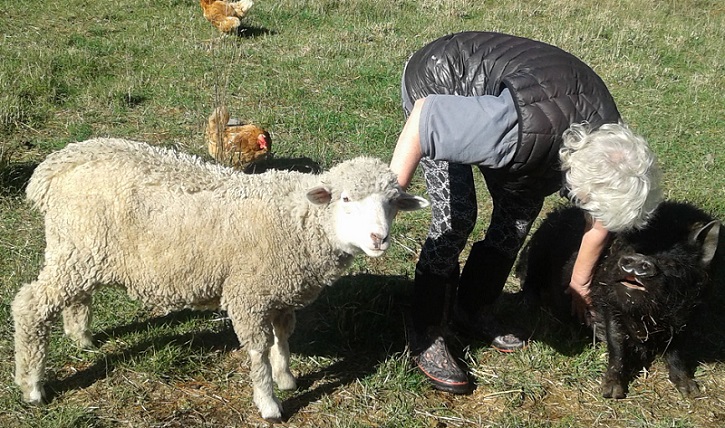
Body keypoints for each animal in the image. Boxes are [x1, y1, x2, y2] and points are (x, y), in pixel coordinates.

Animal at [13, 138, 429, 421]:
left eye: (393, 202)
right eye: (345, 199)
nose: (379, 238)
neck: (298, 218)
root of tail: (57, 165)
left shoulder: (278, 292)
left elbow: (282, 337)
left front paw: (286, 376)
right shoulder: (248, 295)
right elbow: (258, 351)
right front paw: (269, 402)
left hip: (82, 252)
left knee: (75, 298)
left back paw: (81, 338)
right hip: (74, 250)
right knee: (31, 306)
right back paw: (32, 386)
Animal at [521, 201, 720, 398]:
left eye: (672, 263)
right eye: (627, 248)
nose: (639, 259)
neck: (643, 317)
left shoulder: (687, 315)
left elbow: (676, 349)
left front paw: (691, 392)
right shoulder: (608, 304)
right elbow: (617, 343)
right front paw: (612, 393)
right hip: (538, 250)